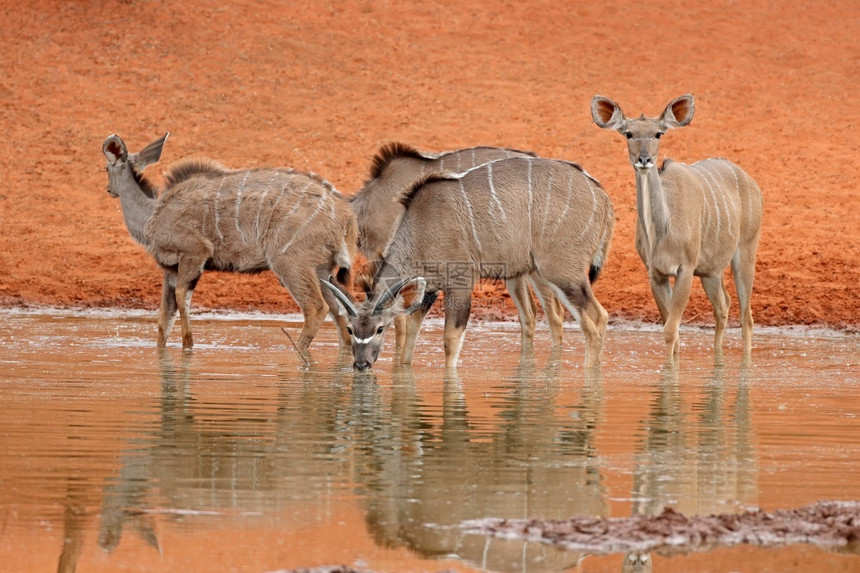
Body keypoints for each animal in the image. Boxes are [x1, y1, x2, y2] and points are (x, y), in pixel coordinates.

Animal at [101, 135, 356, 358]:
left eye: (106, 168)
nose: (109, 190)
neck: (152, 215)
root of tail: (344, 217)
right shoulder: (170, 270)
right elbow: (164, 319)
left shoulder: (195, 254)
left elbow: (182, 299)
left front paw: (188, 347)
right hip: (321, 270)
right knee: (340, 312)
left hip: (290, 263)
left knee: (317, 308)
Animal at [592, 95, 764, 360]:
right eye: (629, 133)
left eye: (658, 133)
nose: (644, 160)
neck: (662, 231)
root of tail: (750, 182)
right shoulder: (656, 274)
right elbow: (673, 333)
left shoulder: (685, 269)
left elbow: (670, 331)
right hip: (710, 272)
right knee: (723, 306)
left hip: (745, 253)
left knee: (747, 318)